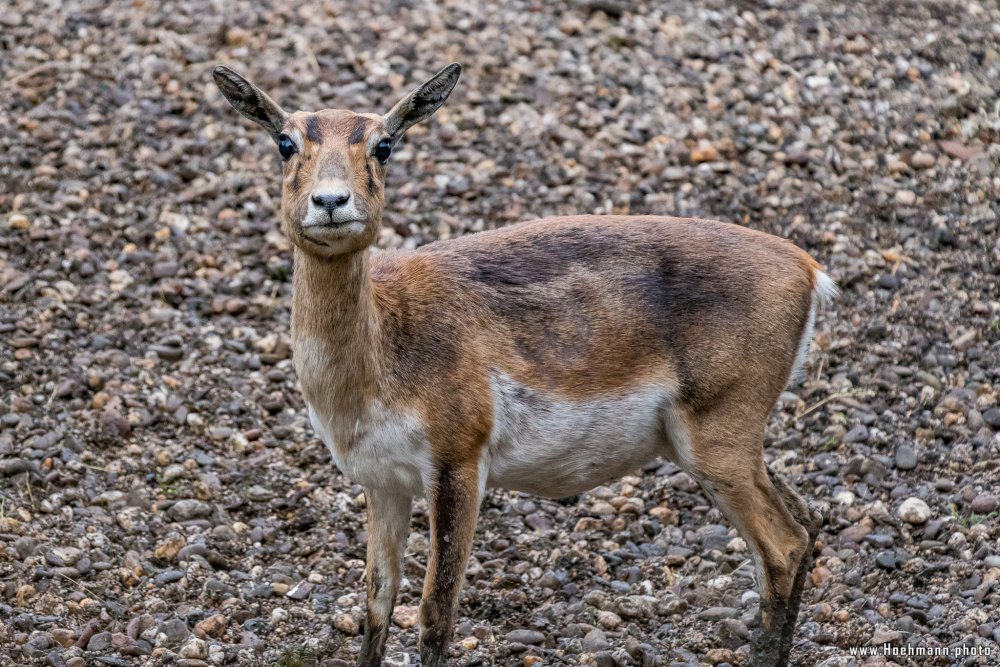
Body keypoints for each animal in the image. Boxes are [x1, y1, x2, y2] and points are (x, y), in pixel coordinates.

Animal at [217, 64, 836, 667]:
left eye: (384, 144)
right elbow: (376, 602)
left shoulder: (459, 461)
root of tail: (808, 269)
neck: (381, 354)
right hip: (713, 443)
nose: (331, 201)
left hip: (717, 436)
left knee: (782, 546)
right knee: (806, 521)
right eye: (285, 141)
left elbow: (434, 611)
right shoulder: (383, 480)